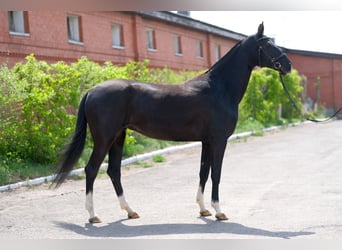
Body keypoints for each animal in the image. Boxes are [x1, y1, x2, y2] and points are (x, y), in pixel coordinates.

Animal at [55, 23, 292, 223]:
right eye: (266, 44)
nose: (288, 65)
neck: (219, 89)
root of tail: (91, 91)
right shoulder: (219, 140)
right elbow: (216, 173)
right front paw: (219, 211)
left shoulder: (207, 141)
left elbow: (203, 171)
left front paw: (203, 209)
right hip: (104, 139)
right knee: (91, 169)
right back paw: (93, 215)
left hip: (118, 137)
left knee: (114, 171)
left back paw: (130, 211)